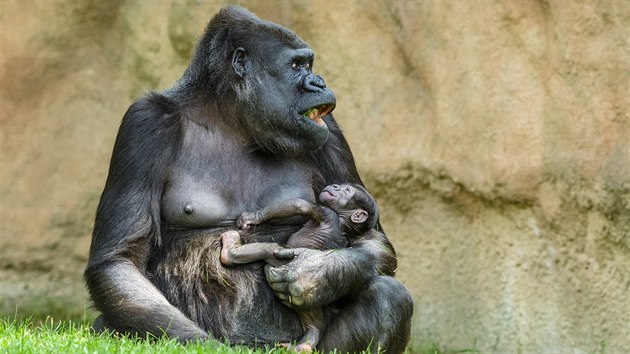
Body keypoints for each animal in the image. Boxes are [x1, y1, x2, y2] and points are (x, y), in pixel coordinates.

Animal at [222, 183, 380, 352]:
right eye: (344, 187)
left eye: (347, 190)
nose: (336, 186)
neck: (343, 221)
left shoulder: (326, 212)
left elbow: (300, 205)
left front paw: (252, 217)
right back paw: (306, 341)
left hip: (282, 262)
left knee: (272, 249)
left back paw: (230, 250)